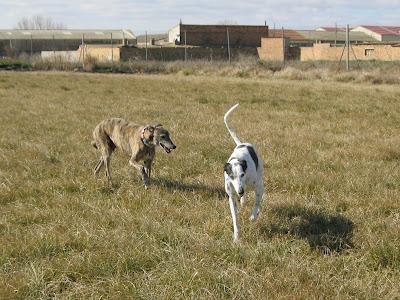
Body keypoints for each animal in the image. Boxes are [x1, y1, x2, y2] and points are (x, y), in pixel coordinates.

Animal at [223, 104, 264, 243]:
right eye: (231, 176)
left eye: (242, 175)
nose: (240, 191)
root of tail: (241, 144)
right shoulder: (231, 197)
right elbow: (235, 218)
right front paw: (236, 237)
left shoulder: (259, 187)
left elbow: (257, 203)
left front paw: (253, 216)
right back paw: (243, 200)